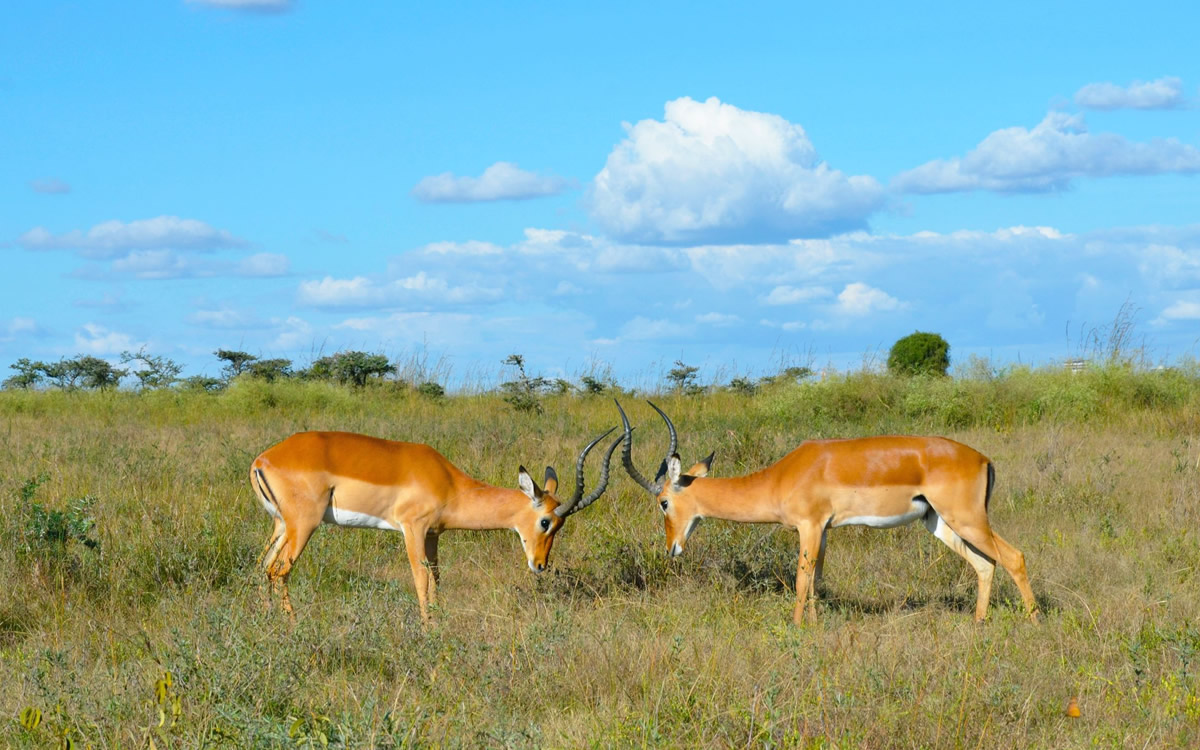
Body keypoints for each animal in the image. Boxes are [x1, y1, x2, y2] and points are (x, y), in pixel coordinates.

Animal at [251, 428, 621, 621]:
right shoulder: (412, 529)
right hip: (304, 525)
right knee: (280, 570)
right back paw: (293, 625)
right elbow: (421, 579)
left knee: (262, 567)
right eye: (545, 521)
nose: (541, 565)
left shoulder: (432, 535)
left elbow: (437, 580)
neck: (450, 483)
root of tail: (262, 459)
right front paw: (428, 628)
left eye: (559, 526)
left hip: (281, 526)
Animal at [616, 401, 1039, 625]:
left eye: (663, 502)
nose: (671, 548)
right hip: (939, 522)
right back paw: (979, 623)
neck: (780, 476)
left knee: (1014, 556)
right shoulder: (825, 530)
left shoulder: (809, 526)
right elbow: (816, 580)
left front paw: (796, 629)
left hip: (967, 518)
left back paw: (1035, 622)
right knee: (985, 564)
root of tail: (983, 458)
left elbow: (801, 580)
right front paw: (815, 627)